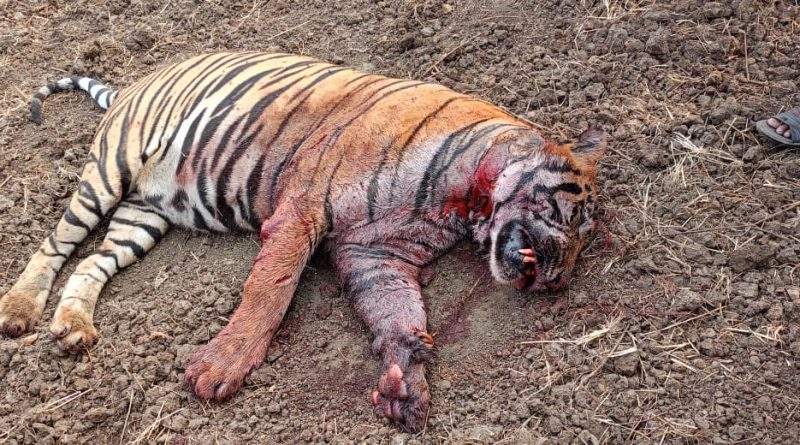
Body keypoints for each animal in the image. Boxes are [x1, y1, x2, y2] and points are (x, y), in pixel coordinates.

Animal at [1, 52, 605, 432]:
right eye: (573, 216)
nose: (557, 278)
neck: (466, 201)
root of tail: (133, 83)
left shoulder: (375, 256)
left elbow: (398, 314)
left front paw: (404, 384)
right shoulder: (304, 206)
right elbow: (270, 291)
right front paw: (219, 369)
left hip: (143, 218)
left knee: (91, 265)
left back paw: (74, 328)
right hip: (109, 172)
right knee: (55, 245)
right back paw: (20, 310)